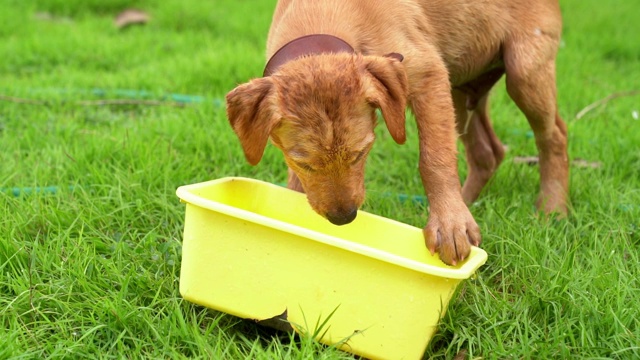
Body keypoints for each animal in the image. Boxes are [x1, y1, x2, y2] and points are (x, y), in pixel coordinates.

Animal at [226, 0, 568, 264]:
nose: (343, 218)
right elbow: (297, 187)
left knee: (555, 136)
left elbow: (434, 158)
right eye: (303, 163)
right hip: (461, 90)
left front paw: (449, 225)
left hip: (523, 69)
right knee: (489, 152)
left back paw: (552, 210)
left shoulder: (428, 73)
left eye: (361, 154)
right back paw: (469, 204)